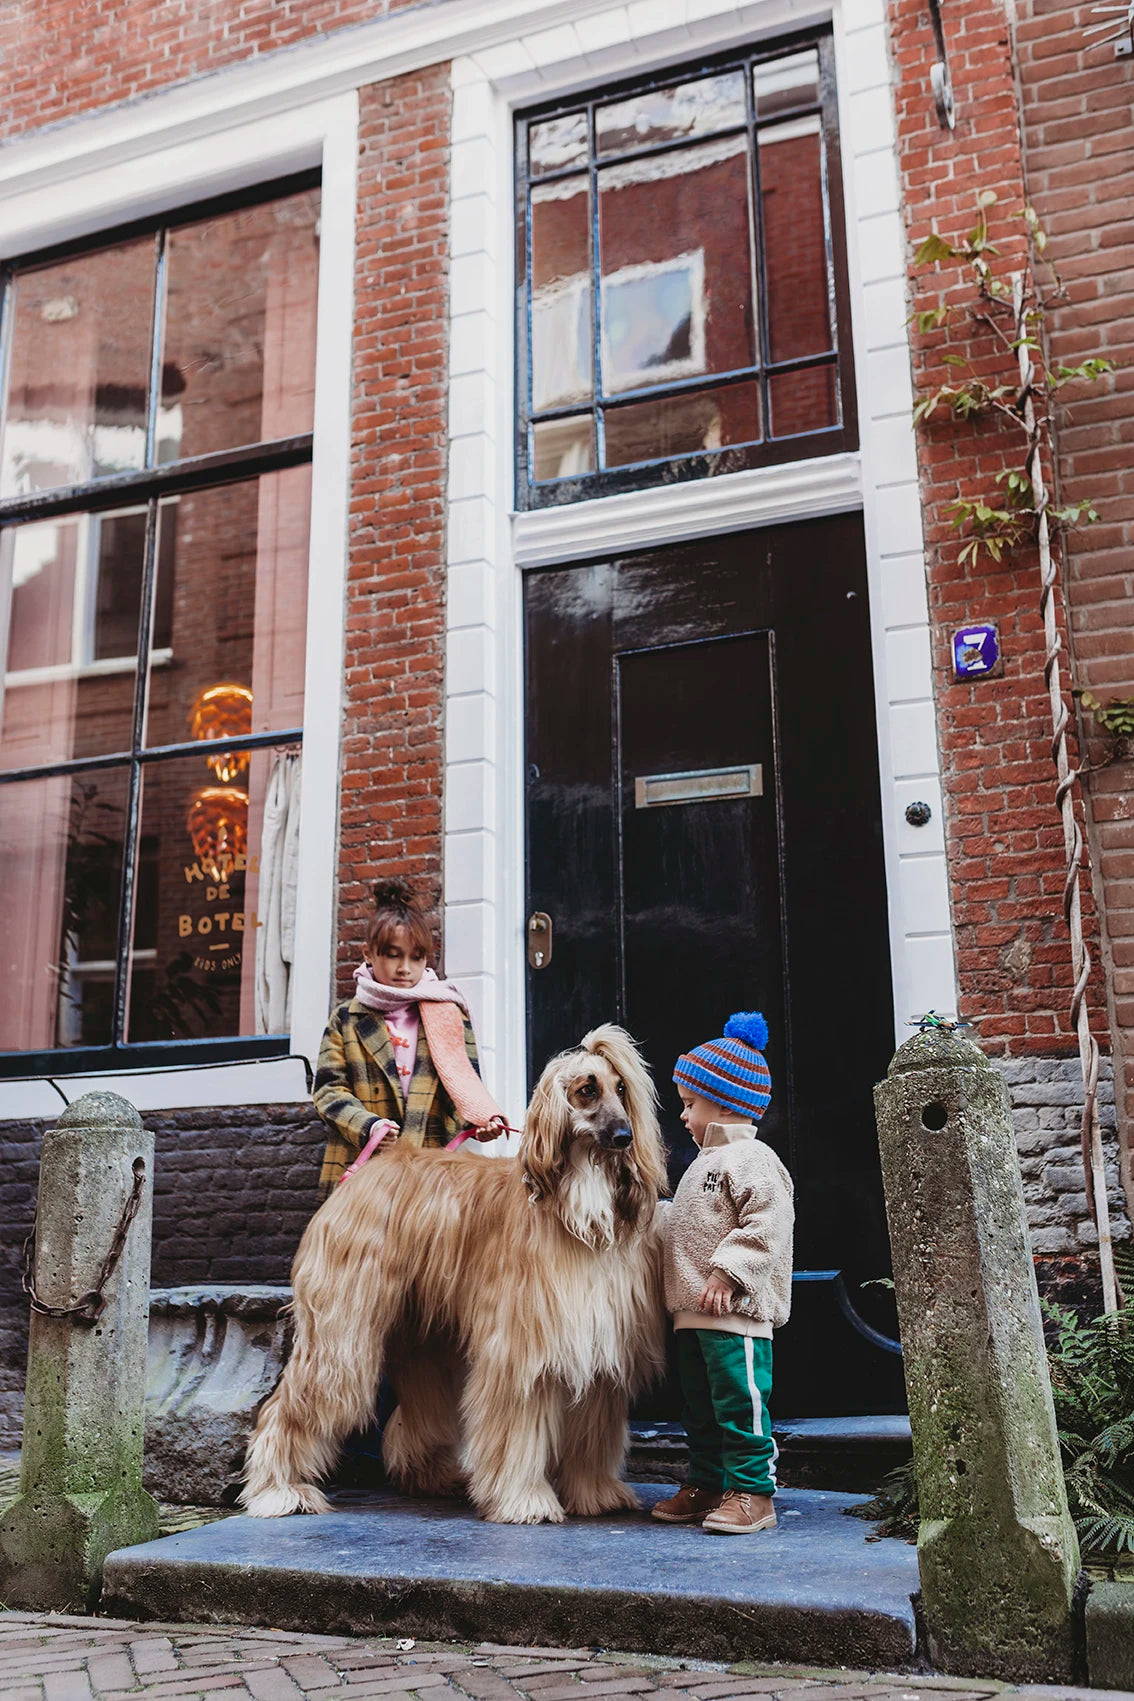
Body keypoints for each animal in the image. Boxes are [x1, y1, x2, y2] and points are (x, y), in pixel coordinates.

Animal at [239, 1020, 666, 1530]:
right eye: (587, 1089)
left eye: (622, 1089)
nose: (624, 1137)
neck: (578, 1206)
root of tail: (368, 1169)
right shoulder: (521, 1348)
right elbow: (515, 1427)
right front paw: (523, 1500)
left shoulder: (600, 1345)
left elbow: (594, 1430)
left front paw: (596, 1493)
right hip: (342, 1330)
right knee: (294, 1403)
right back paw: (277, 1489)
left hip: (424, 1333)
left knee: (422, 1403)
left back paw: (431, 1476)